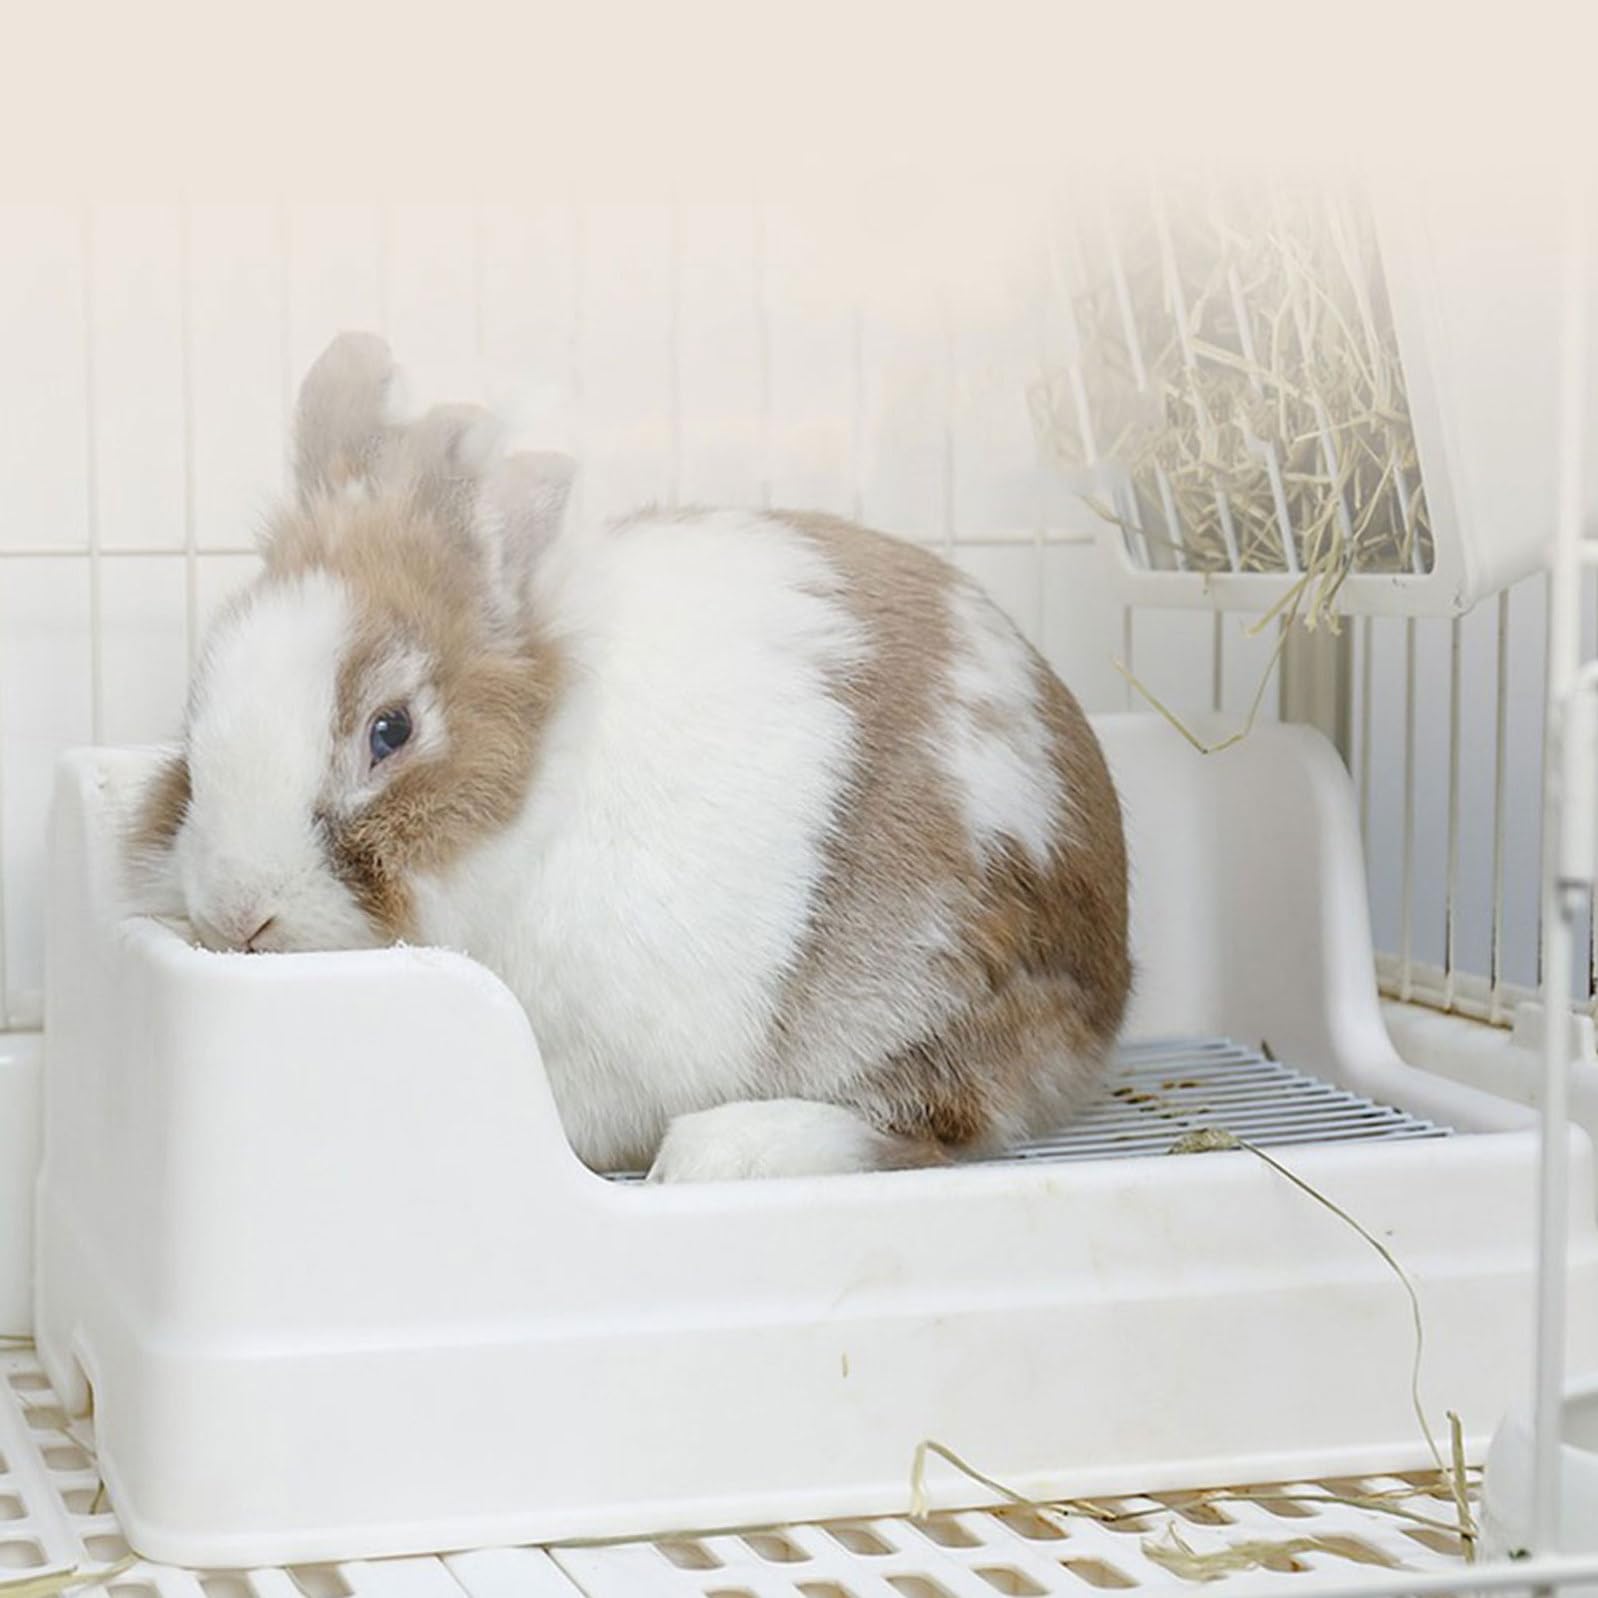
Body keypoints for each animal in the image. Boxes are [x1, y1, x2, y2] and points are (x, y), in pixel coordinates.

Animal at [129, 331, 1131, 1181]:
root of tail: (1109, 973)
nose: (237, 915)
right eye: (198, 706)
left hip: (924, 987)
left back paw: (721, 1152)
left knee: (937, 1117)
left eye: (391, 731)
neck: (535, 800)